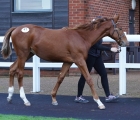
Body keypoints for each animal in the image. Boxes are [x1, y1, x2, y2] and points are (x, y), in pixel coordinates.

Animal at [0, 14, 128, 109]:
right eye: (120, 28)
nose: (126, 43)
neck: (81, 37)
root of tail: (16, 28)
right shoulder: (80, 60)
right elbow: (89, 79)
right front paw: (99, 103)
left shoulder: (68, 62)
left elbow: (60, 78)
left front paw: (53, 99)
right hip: (23, 55)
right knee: (20, 74)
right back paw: (25, 100)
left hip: (27, 54)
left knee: (12, 69)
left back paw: (10, 97)